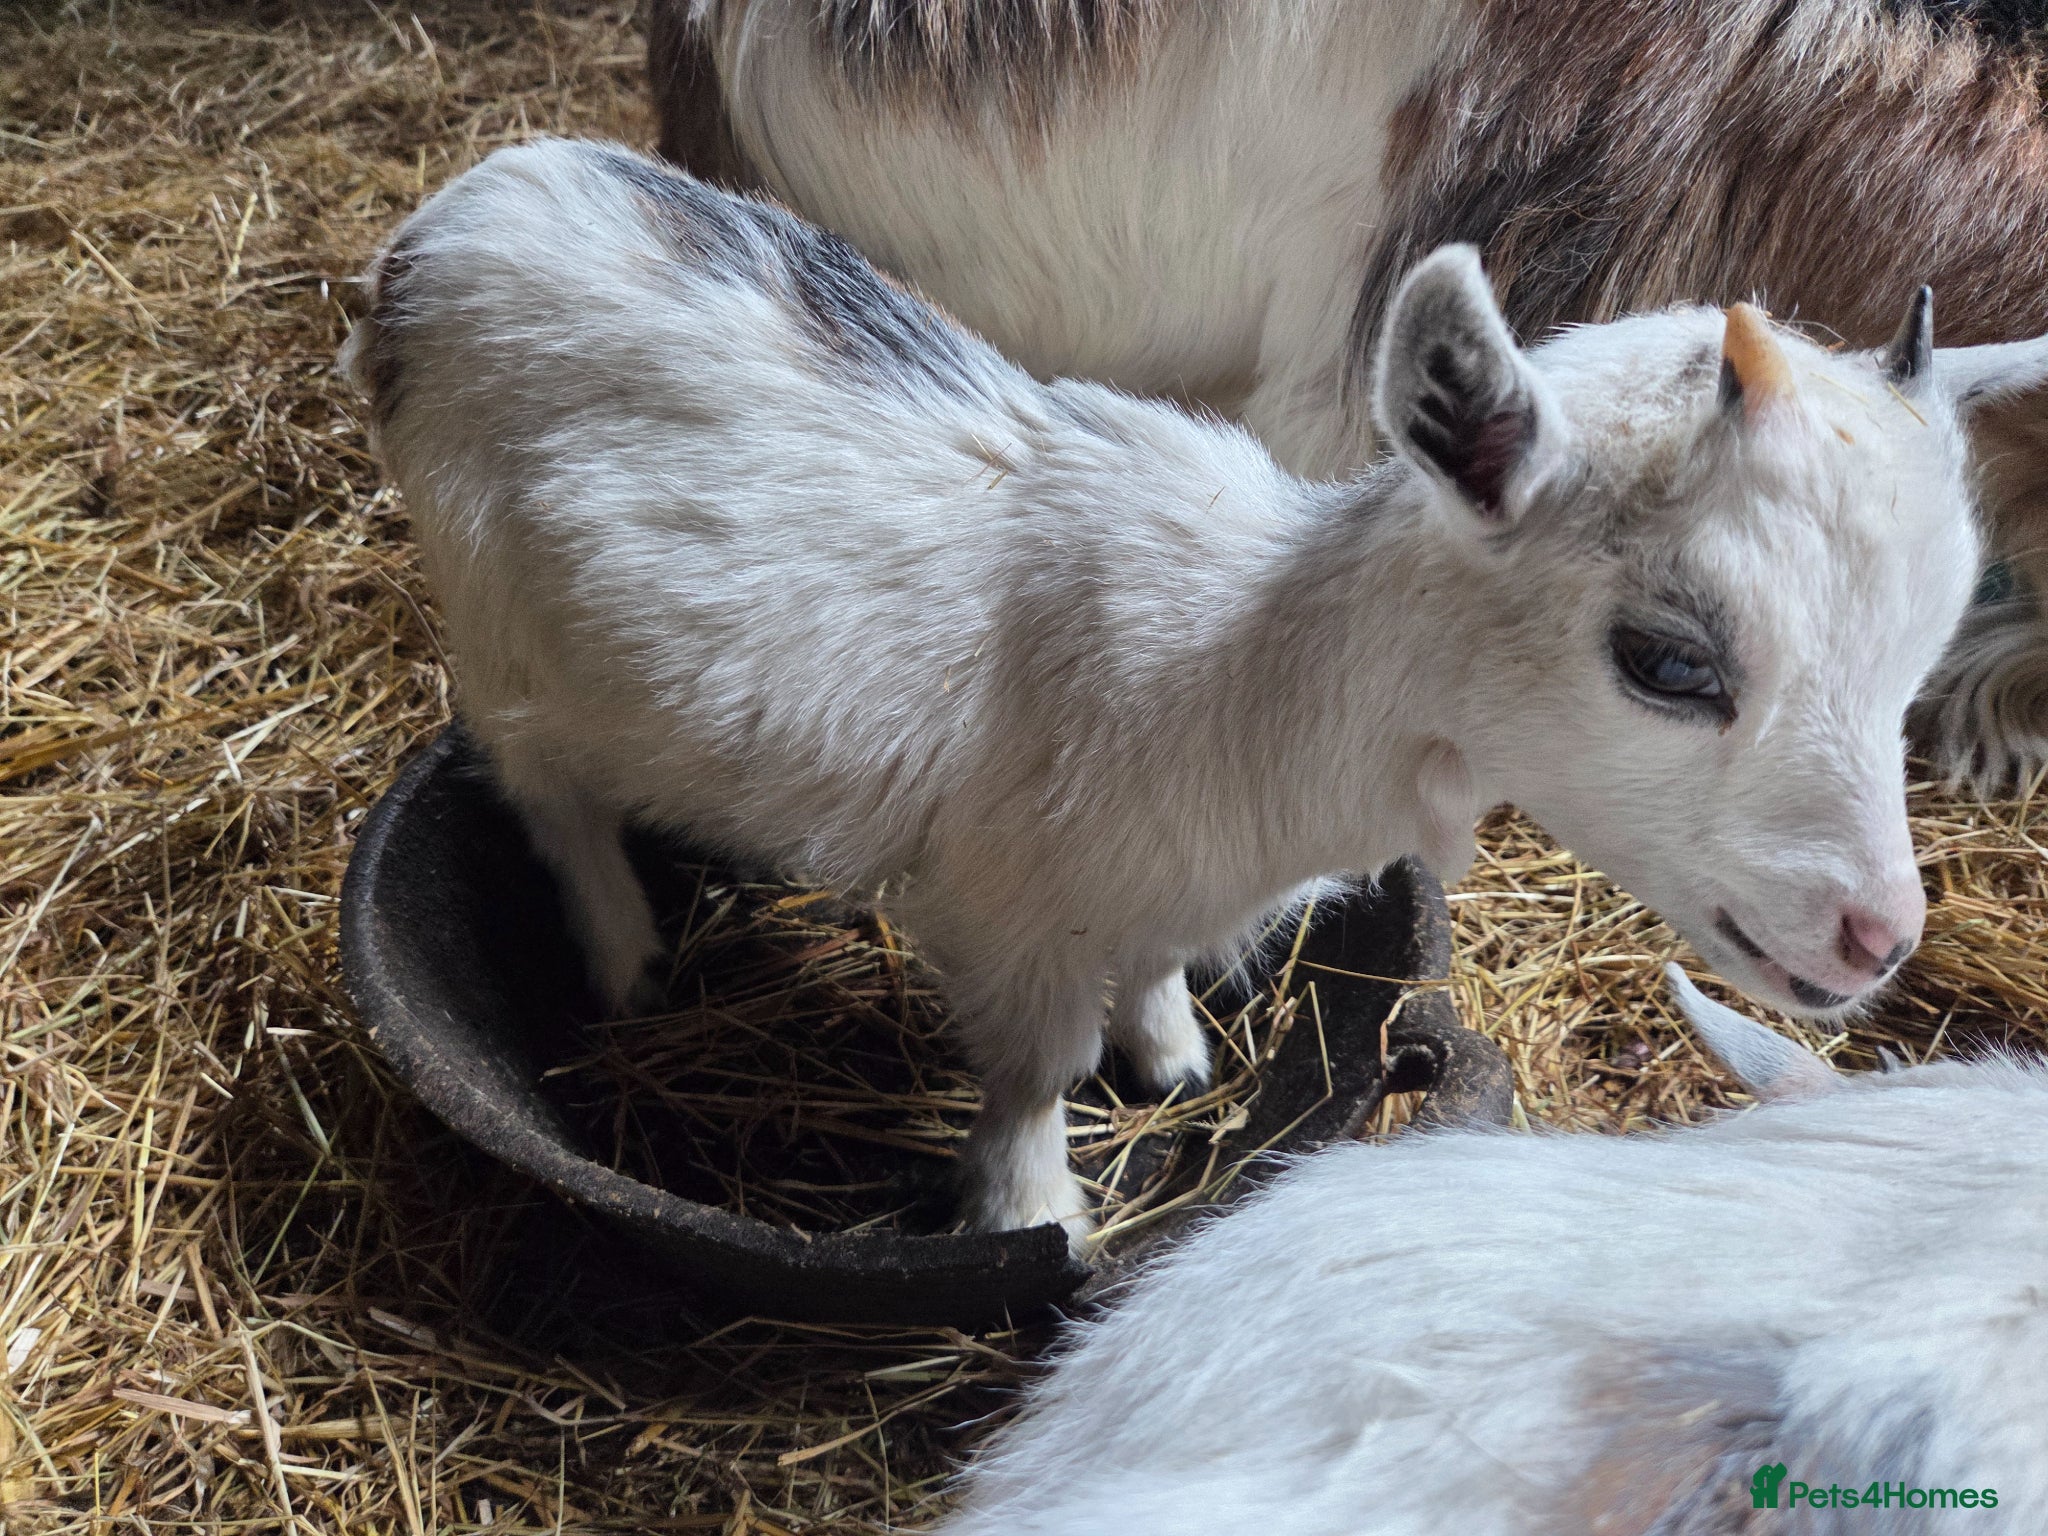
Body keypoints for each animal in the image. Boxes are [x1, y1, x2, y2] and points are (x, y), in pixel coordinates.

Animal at [343, 138, 2042, 1239]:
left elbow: (1154, 965)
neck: (1242, 675)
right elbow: (1032, 1083)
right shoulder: (1007, 912)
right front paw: (1035, 1218)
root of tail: (447, 217)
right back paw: (627, 960)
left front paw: (1169, 1054)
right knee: (543, 781)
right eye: (1672, 664)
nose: (1878, 938)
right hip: (493, 610)